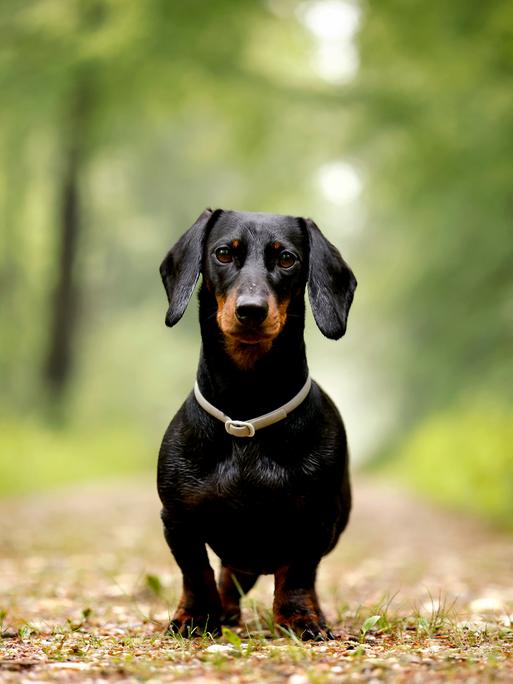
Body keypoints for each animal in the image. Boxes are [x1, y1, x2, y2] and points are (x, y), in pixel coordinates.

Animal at [158, 208, 354, 640]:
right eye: (223, 253)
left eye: (287, 259)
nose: (251, 310)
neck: (245, 416)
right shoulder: (177, 519)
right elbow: (195, 572)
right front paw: (196, 617)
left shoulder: (316, 519)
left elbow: (297, 573)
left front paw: (299, 619)